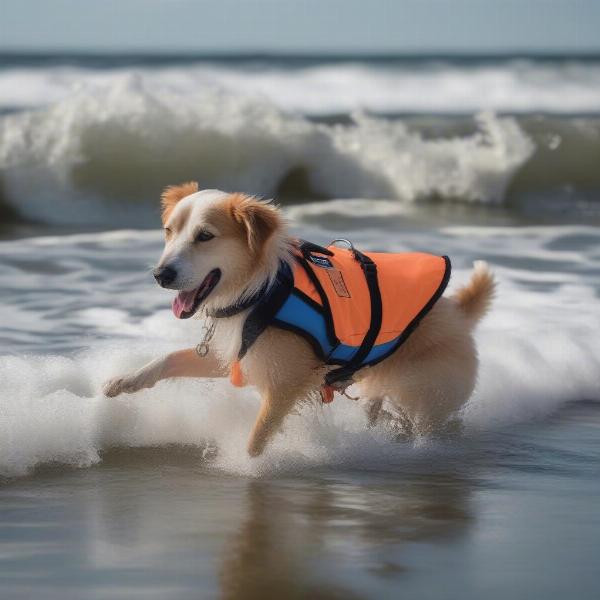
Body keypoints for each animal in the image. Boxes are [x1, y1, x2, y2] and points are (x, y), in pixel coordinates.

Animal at [103, 183, 494, 454]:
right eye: (168, 231)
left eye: (204, 236)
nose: (160, 274)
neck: (260, 290)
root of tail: (458, 312)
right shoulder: (235, 356)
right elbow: (169, 358)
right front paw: (125, 381)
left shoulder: (286, 384)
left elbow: (257, 438)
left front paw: (247, 466)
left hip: (425, 391)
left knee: (427, 423)